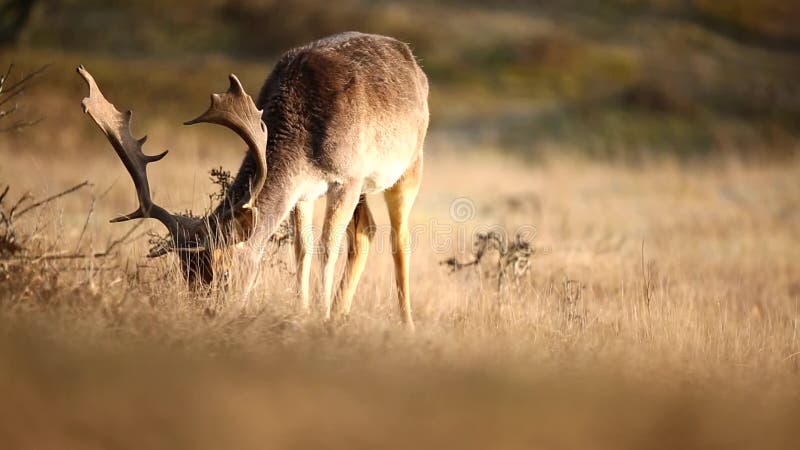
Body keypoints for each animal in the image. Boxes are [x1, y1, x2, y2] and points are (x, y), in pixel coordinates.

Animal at [79, 30, 432, 326]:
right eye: (185, 273)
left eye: (224, 272)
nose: (207, 312)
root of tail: (414, 61)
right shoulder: (304, 190)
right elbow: (302, 247)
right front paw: (303, 312)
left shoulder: (348, 175)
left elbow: (327, 246)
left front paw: (320, 316)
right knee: (364, 230)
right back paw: (342, 313)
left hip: (410, 163)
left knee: (399, 238)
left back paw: (406, 324)